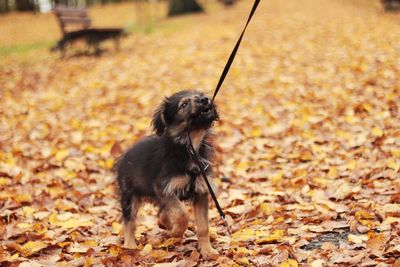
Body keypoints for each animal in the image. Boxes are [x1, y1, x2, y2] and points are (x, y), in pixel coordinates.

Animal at [115, 90, 220, 260]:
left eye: (200, 95)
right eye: (183, 105)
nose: (205, 99)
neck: (190, 147)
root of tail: (124, 156)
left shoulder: (201, 191)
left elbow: (203, 227)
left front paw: (207, 250)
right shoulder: (164, 188)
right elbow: (181, 214)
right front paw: (175, 232)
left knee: (161, 213)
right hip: (130, 196)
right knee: (129, 221)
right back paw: (129, 245)